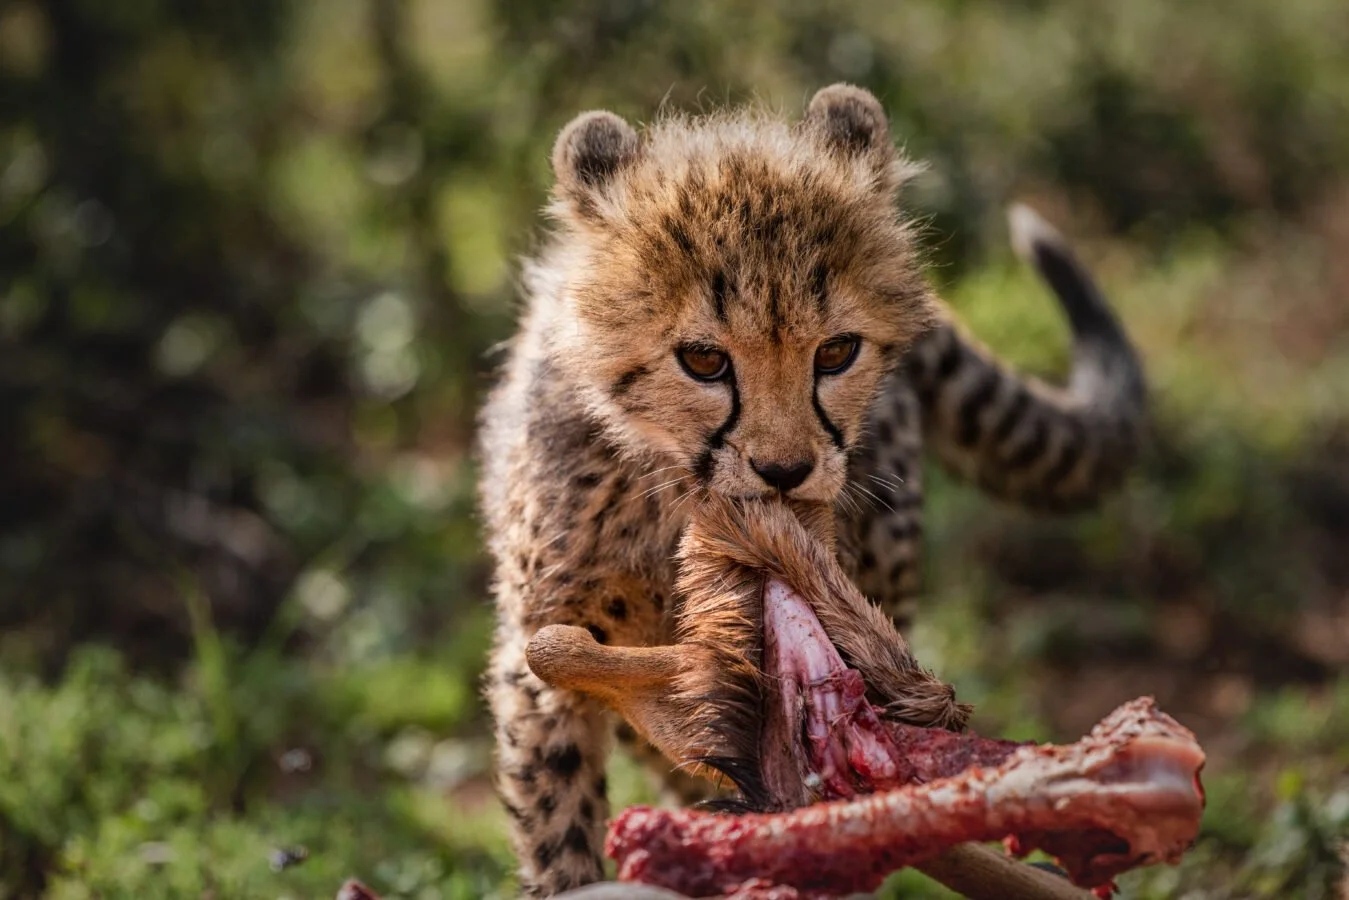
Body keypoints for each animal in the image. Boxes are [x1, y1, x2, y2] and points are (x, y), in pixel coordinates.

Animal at [476, 83, 1146, 897]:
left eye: (836, 352)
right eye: (703, 360)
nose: (785, 471)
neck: (680, 502)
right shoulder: (548, 656)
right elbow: (558, 818)